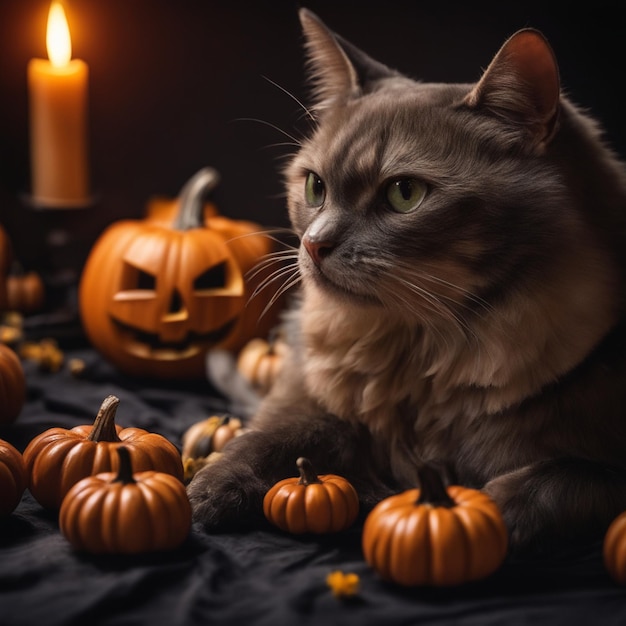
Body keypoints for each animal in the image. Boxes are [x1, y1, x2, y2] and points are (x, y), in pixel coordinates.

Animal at [186, 8, 626, 552]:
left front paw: (476, 505)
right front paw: (211, 490)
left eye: (404, 194)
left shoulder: (600, 473)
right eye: (315, 187)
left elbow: (553, 481)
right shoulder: (308, 390)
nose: (314, 244)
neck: (428, 354)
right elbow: (278, 434)